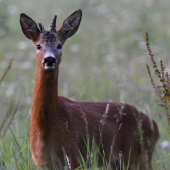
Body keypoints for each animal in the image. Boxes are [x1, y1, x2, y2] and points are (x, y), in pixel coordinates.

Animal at [19, 9, 159, 170]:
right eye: (38, 46)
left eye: (59, 45)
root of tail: (155, 126)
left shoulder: (73, 156)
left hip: (139, 156)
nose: (49, 59)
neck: (46, 126)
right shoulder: (41, 161)